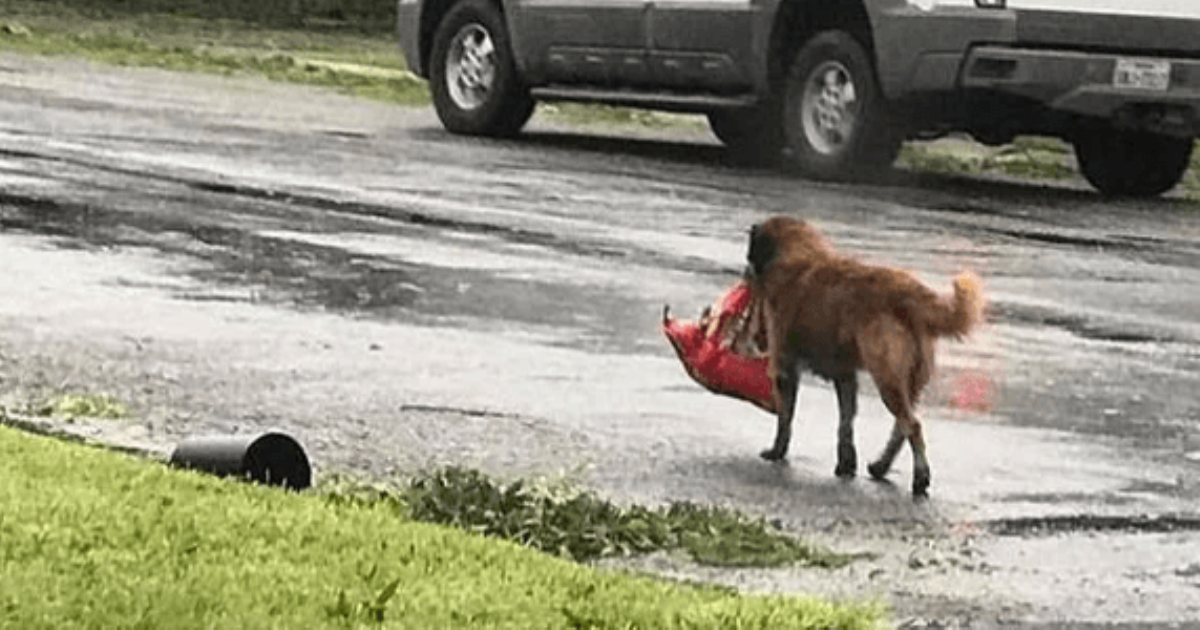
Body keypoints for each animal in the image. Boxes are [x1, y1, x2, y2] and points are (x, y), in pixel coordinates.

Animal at [739, 216, 984, 496]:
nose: (744, 272)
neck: (799, 254)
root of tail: (909, 291)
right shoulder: (845, 376)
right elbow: (846, 422)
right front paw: (846, 464)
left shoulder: (785, 369)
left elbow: (785, 419)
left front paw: (777, 452)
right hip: (910, 381)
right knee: (902, 427)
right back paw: (880, 466)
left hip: (887, 378)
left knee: (912, 425)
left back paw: (920, 478)